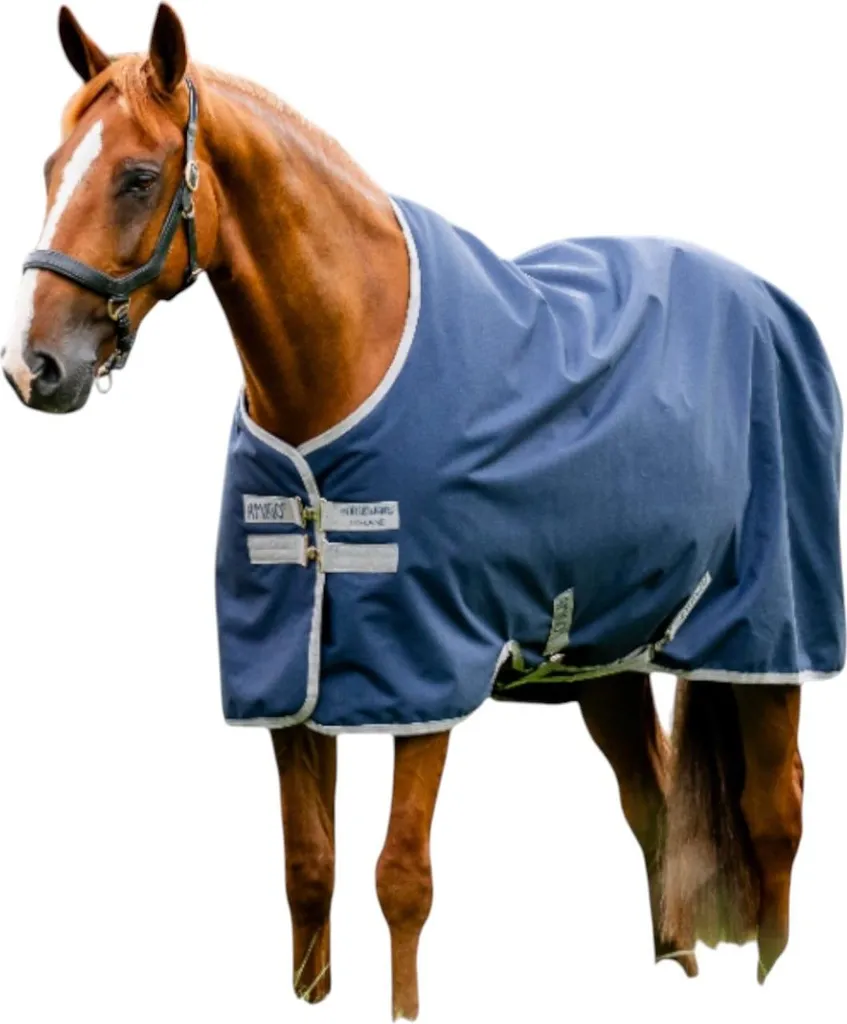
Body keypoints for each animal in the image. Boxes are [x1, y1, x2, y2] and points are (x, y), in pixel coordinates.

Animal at [3, 6, 842, 1020]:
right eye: (51, 168)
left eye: (135, 175)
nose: (34, 367)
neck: (348, 361)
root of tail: (770, 303)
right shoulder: (289, 683)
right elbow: (308, 870)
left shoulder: (424, 669)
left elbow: (401, 878)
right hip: (604, 654)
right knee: (652, 806)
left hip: (763, 638)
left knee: (774, 814)